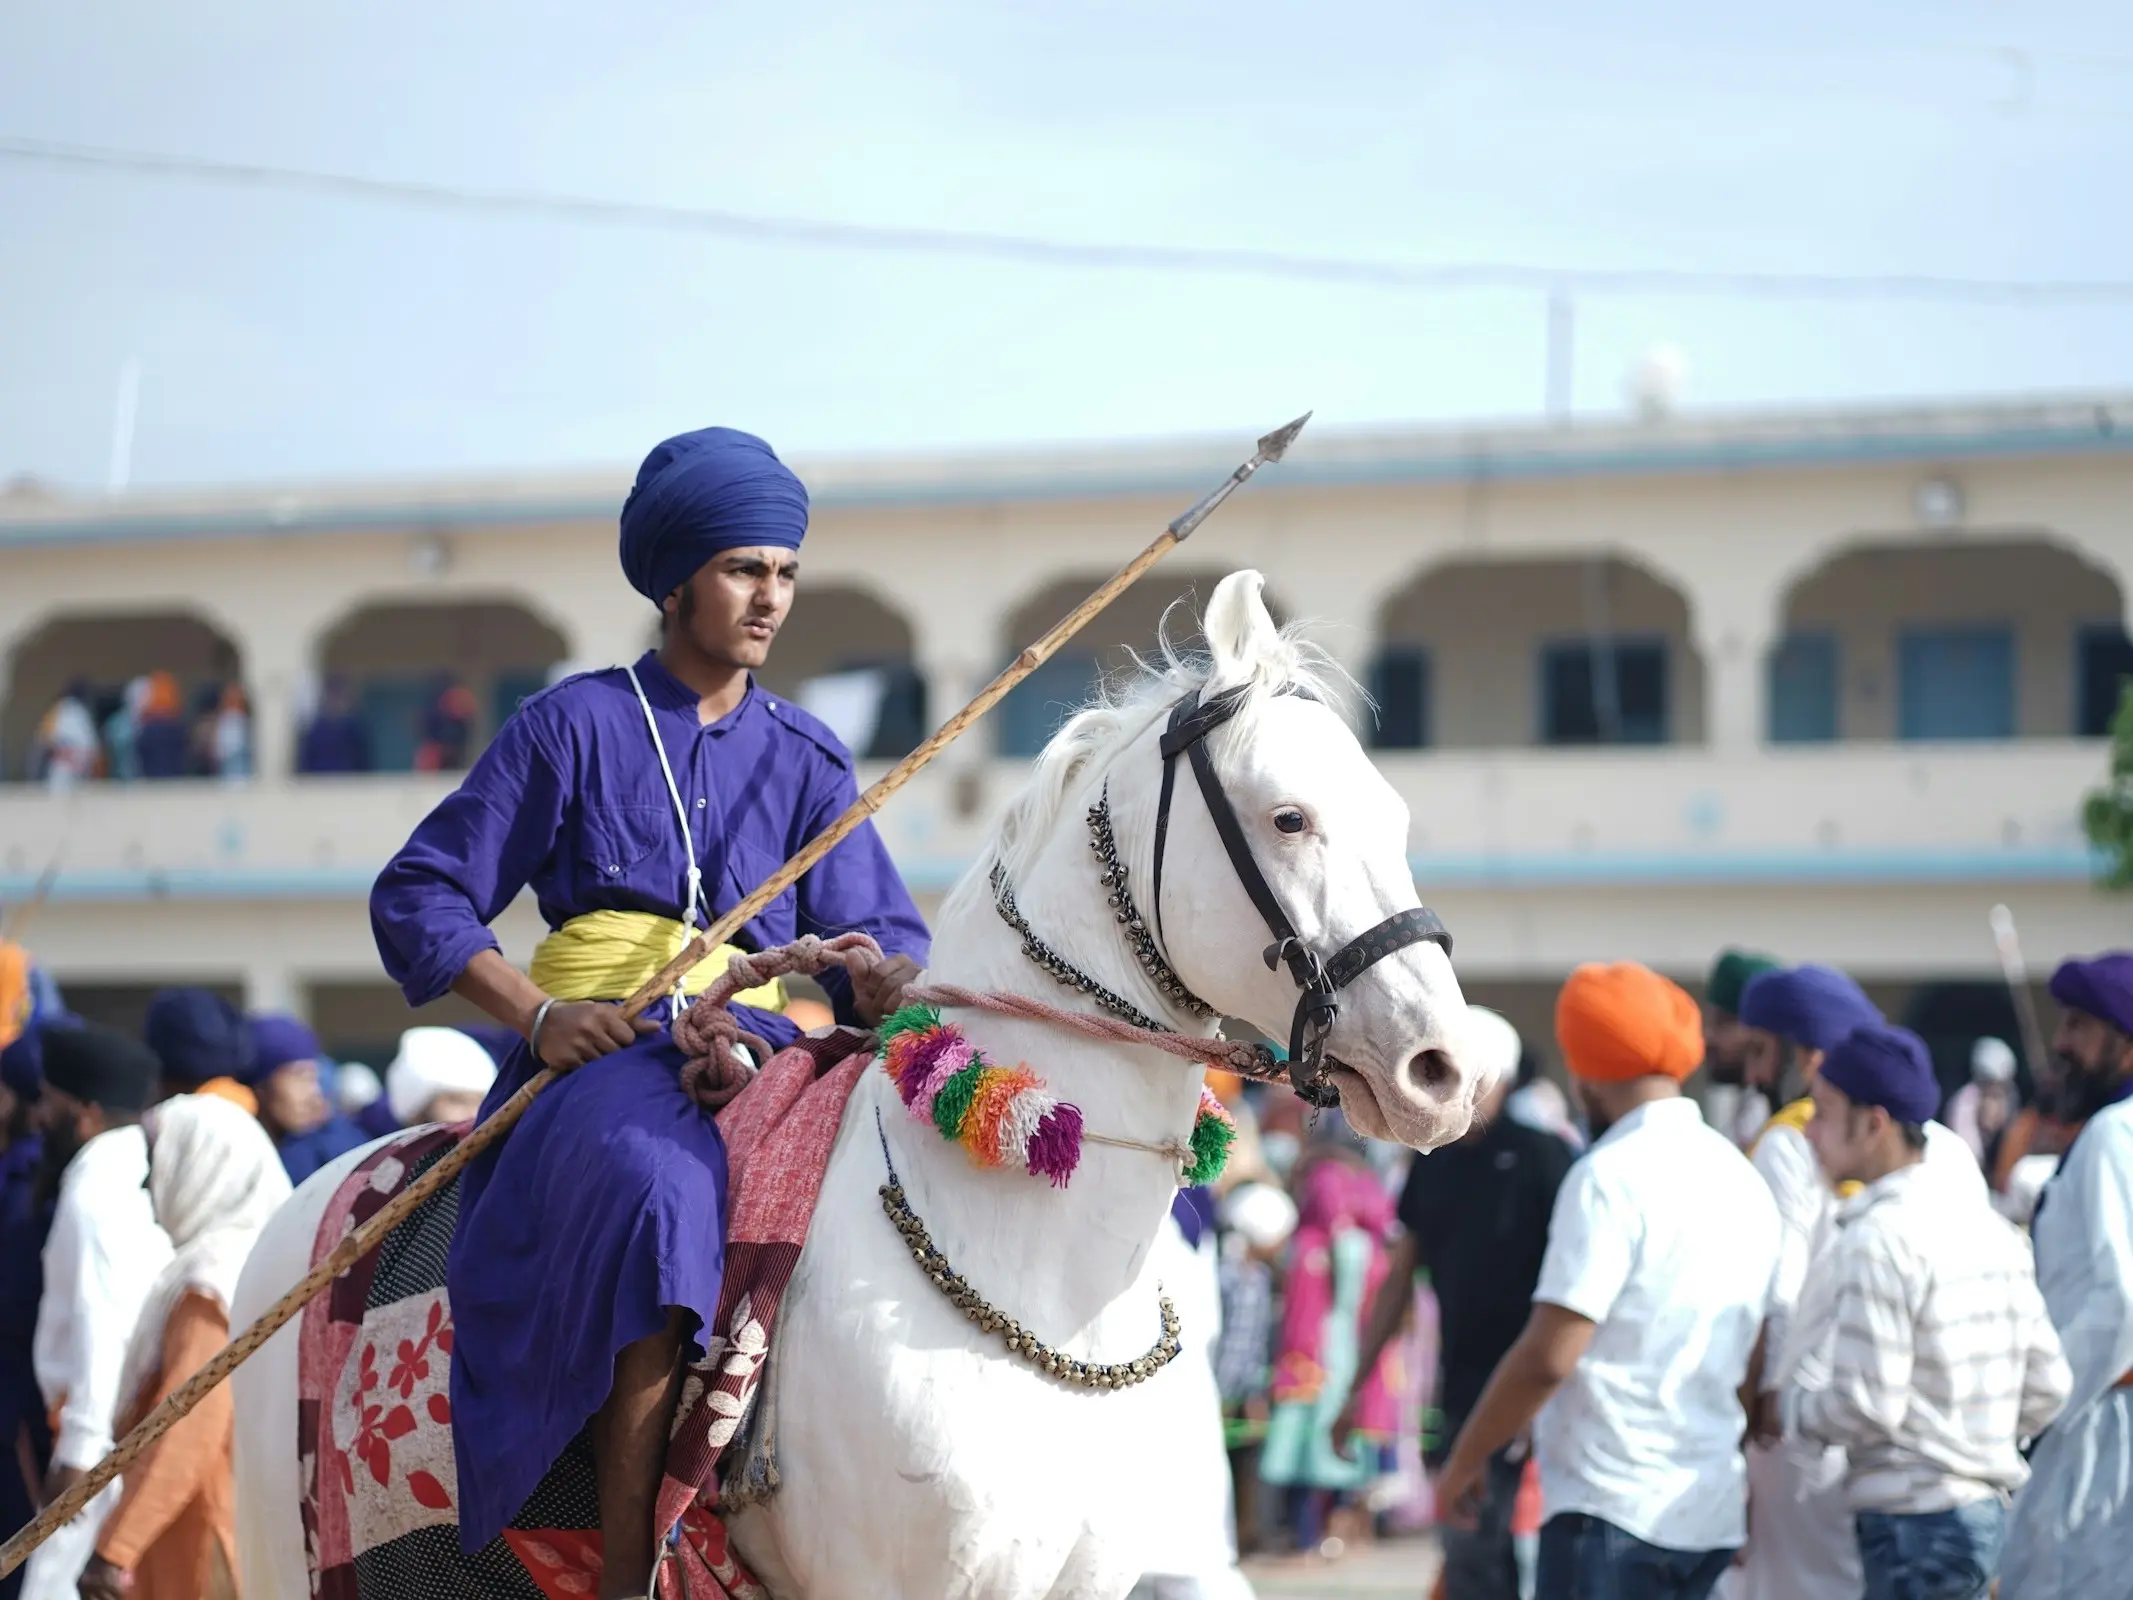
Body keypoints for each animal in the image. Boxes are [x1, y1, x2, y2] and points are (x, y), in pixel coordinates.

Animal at [225, 571, 1476, 1595]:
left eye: (1397, 814)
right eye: (1289, 817)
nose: (1443, 1067)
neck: (1032, 1263)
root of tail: (314, 1198)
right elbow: (423, 889)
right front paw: (581, 1021)